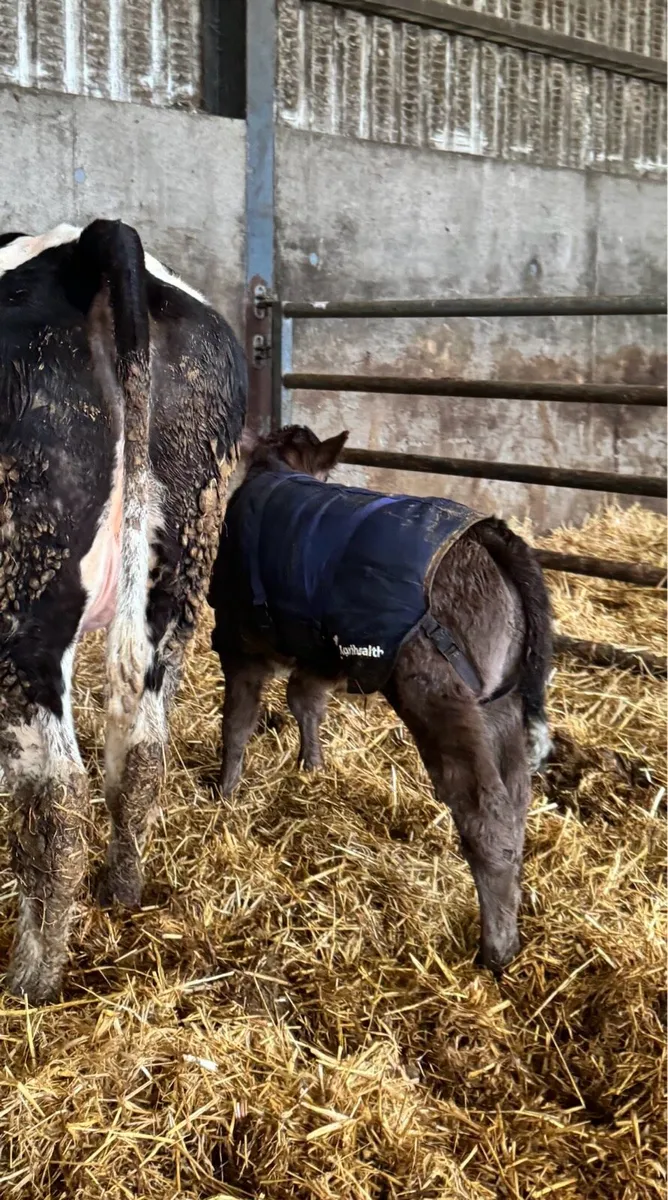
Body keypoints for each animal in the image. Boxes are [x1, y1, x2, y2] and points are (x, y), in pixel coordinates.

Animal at [0, 220, 246, 1003]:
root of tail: (89, 240)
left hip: (21, 603)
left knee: (57, 796)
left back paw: (31, 981)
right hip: (182, 566)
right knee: (140, 753)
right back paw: (125, 893)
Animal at [208, 425, 553, 974]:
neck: (280, 471)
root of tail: (486, 535)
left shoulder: (240, 643)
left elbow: (237, 721)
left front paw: (225, 792)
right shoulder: (323, 652)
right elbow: (305, 702)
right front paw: (311, 767)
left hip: (437, 694)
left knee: (487, 814)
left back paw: (495, 952)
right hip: (500, 701)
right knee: (517, 800)